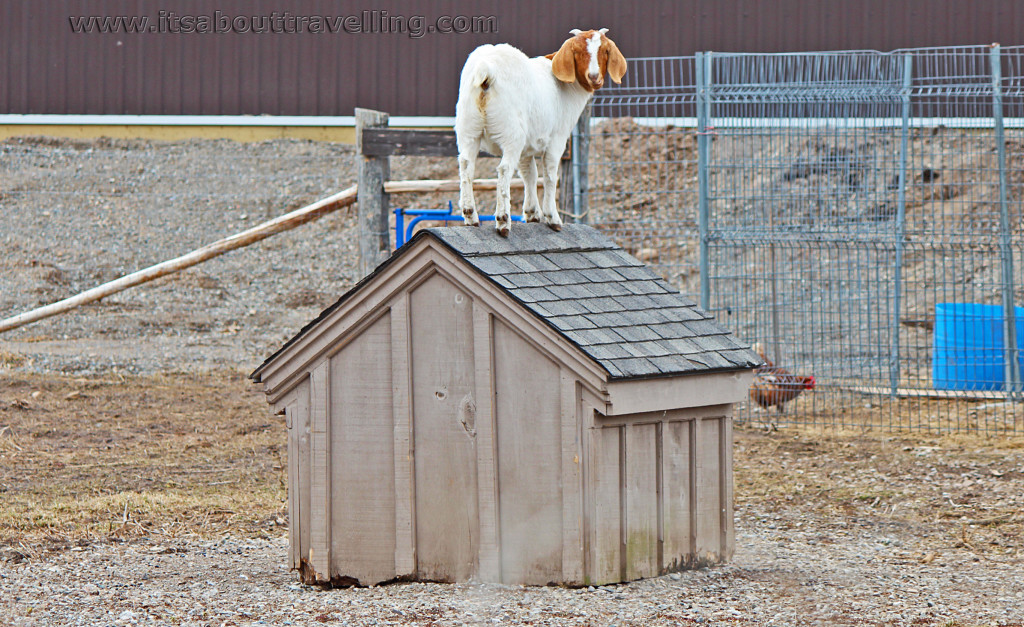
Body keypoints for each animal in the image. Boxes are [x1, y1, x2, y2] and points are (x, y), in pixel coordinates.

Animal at [455, 29, 627, 237]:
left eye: (605, 50)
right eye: (577, 51)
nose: (594, 77)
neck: (567, 87)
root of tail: (486, 70)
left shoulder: (527, 148)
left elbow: (530, 174)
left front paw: (532, 213)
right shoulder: (557, 139)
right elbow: (550, 175)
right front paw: (552, 218)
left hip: (468, 129)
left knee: (466, 165)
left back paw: (470, 215)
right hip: (512, 133)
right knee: (504, 169)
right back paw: (503, 220)